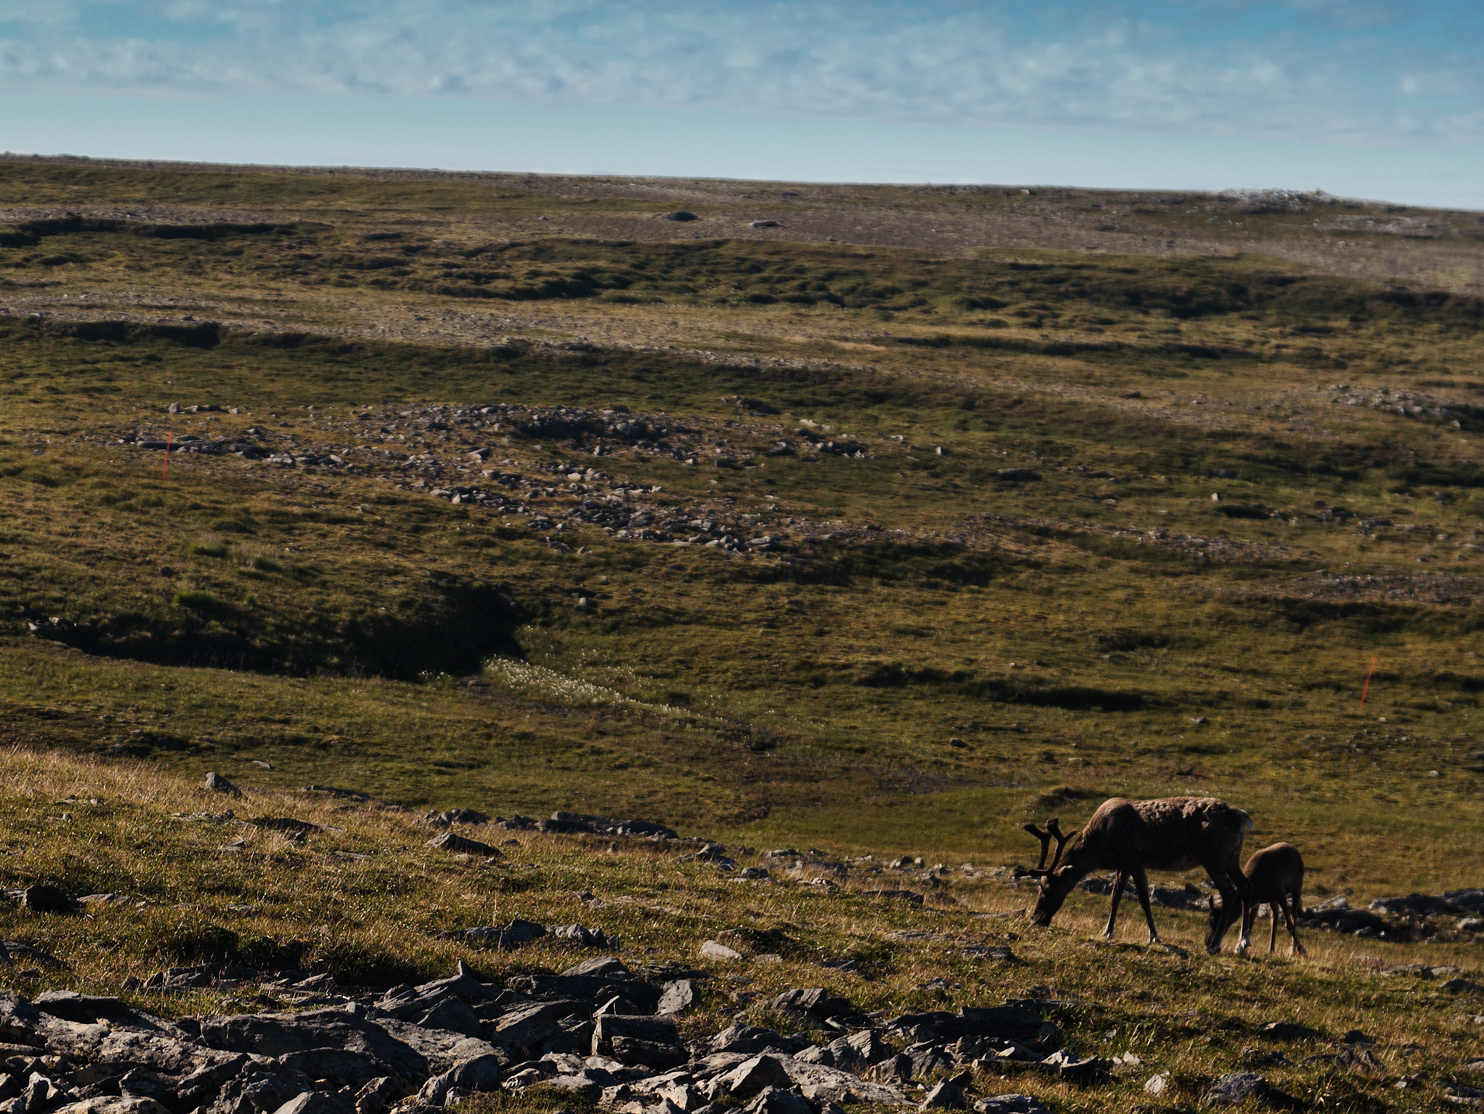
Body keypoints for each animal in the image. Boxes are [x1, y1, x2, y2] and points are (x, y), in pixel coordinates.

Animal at [1019, 796, 1254, 954]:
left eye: (1047, 888)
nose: (1036, 918)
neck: (1100, 849)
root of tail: (1242, 816)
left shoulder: (1133, 859)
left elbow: (1143, 898)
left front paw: (1154, 936)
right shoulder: (1123, 865)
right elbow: (1115, 897)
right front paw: (1107, 931)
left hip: (1213, 858)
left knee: (1229, 891)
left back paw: (1215, 944)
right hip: (1232, 858)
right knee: (1245, 887)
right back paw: (1242, 944)